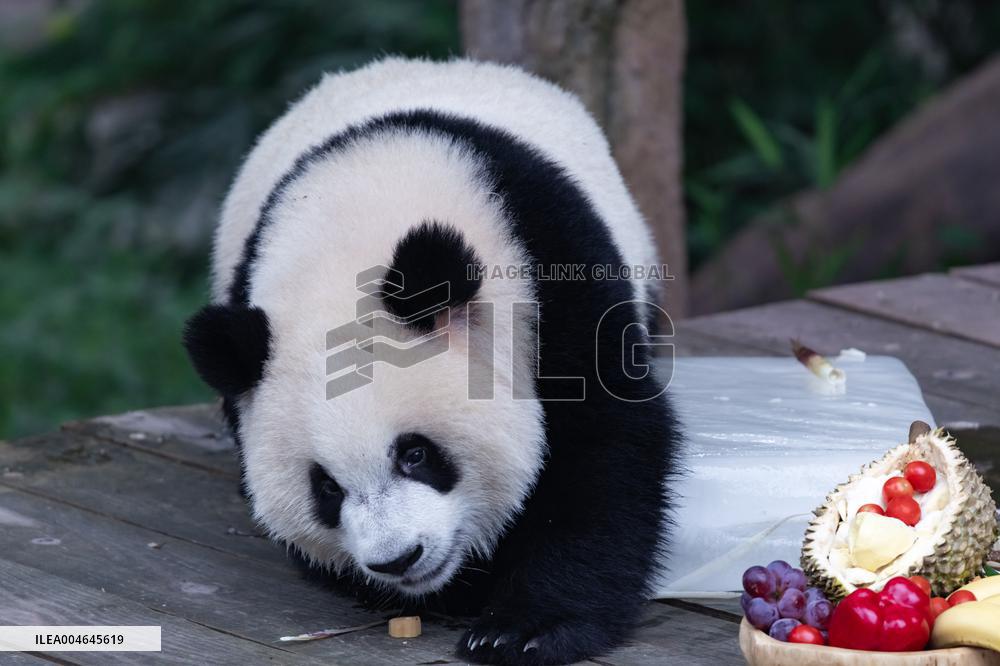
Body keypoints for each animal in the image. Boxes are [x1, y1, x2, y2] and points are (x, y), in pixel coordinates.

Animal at [183, 57, 679, 665]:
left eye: (415, 454)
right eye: (326, 488)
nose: (398, 559)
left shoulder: (552, 270)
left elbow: (605, 443)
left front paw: (525, 628)